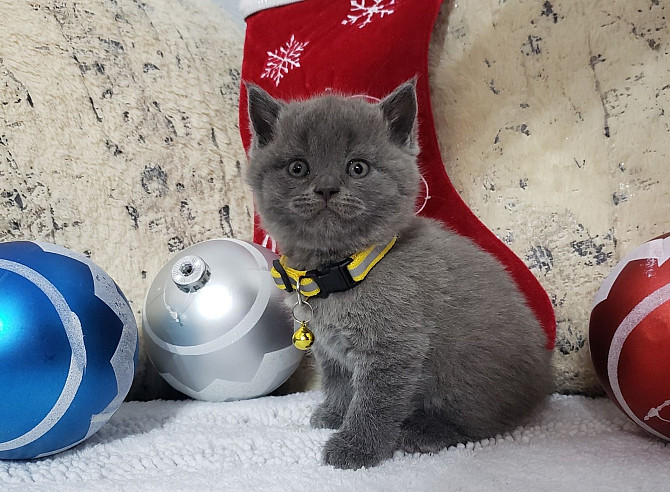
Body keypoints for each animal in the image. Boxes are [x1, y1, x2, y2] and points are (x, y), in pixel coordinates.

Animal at [244, 80, 552, 468]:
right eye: (298, 168)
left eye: (358, 168)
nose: (327, 188)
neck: (341, 270)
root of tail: (542, 380)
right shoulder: (329, 348)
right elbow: (338, 381)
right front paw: (334, 414)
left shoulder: (394, 347)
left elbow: (375, 403)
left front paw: (356, 448)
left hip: (466, 375)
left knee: (481, 421)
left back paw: (423, 432)